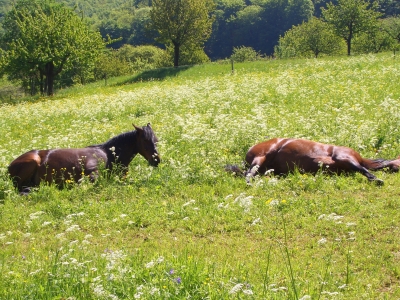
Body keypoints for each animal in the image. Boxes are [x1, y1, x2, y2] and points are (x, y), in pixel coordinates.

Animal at [8, 122, 160, 195]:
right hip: (32, 162)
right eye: (145, 140)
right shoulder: (92, 172)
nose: (157, 161)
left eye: (156, 139)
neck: (109, 154)